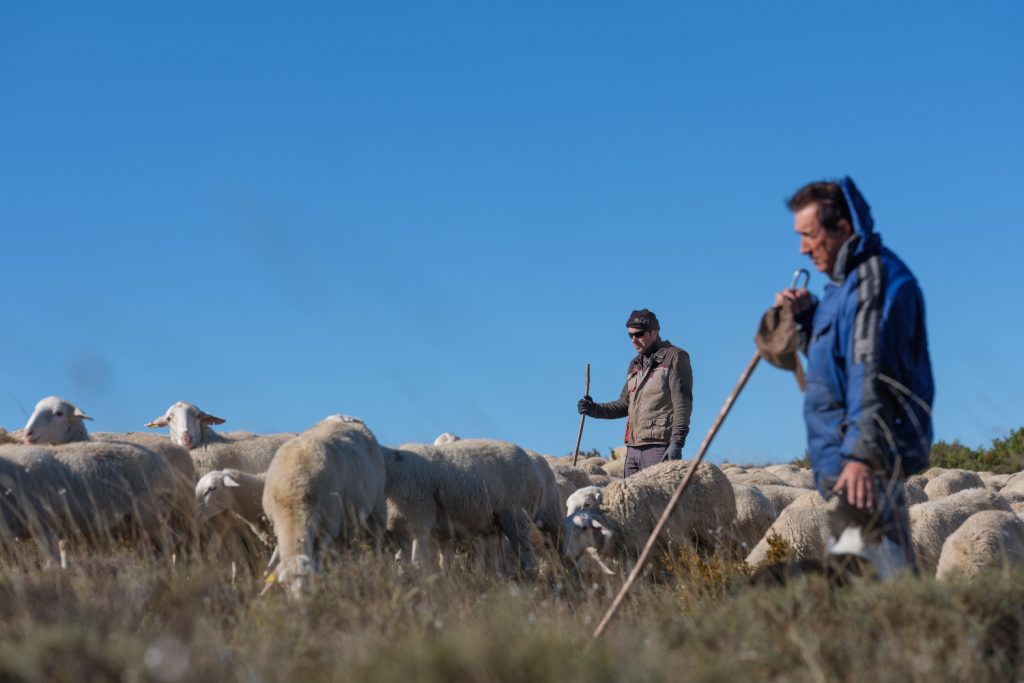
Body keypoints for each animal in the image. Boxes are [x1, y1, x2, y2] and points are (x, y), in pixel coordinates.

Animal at [262, 413, 389, 593]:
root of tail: (344, 415)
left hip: (376, 509)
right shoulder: (275, 524)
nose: (301, 601)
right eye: (285, 585)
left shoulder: (328, 527)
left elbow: (320, 559)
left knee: (377, 541)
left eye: (309, 581)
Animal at [385, 438, 544, 577]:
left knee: (528, 557)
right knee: (496, 560)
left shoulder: (419, 522)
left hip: (516, 515)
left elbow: (418, 562)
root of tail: (533, 464)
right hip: (494, 524)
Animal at [565, 458, 741, 577]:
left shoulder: (644, 545)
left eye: (586, 504)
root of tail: (712, 466)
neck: (611, 510)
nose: (567, 556)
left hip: (717, 528)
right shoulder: (631, 550)